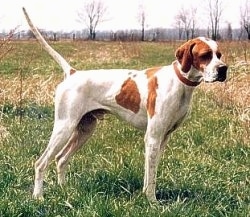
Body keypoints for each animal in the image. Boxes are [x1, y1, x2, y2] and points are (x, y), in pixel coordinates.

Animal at [22, 7, 228, 201]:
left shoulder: (163, 138)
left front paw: (145, 195)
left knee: (61, 159)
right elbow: (151, 176)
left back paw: (64, 189)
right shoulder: (152, 137)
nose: (223, 69)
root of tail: (73, 73)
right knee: (41, 163)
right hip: (64, 127)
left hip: (84, 129)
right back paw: (38, 196)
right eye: (205, 55)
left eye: (219, 54)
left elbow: (150, 172)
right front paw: (152, 201)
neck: (179, 83)